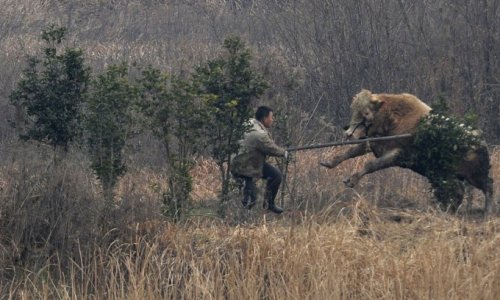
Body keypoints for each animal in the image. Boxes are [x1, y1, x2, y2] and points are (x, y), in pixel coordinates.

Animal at [318, 89, 494, 213]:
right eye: (353, 109)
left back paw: (488, 211)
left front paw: (351, 180)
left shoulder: (395, 154)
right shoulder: (373, 144)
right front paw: (329, 162)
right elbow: (350, 152)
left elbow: (371, 165)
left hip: (475, 176)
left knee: (488, 186)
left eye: (366, 113)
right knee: (458, 191)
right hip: (446, 175)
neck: (392, 118)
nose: (349, 133)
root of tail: (481, 141)